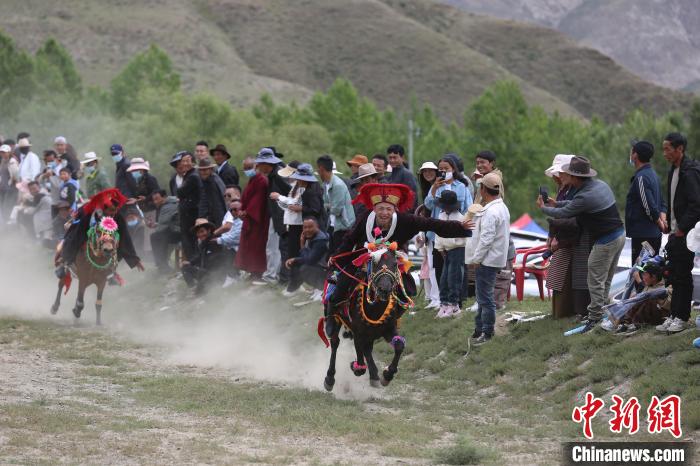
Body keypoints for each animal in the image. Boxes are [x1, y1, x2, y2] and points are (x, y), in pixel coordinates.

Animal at [321, 242, 412, 390]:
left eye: (394, 264)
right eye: (374, 264)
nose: (384, 289)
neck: (375, 308)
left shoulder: (388, 329)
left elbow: (399, 345)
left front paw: (387, 375)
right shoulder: (359, 332)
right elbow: (361, 359)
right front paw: (358, 368)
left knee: (367, 349)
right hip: (337, 320)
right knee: (335, 343)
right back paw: (330, 379)